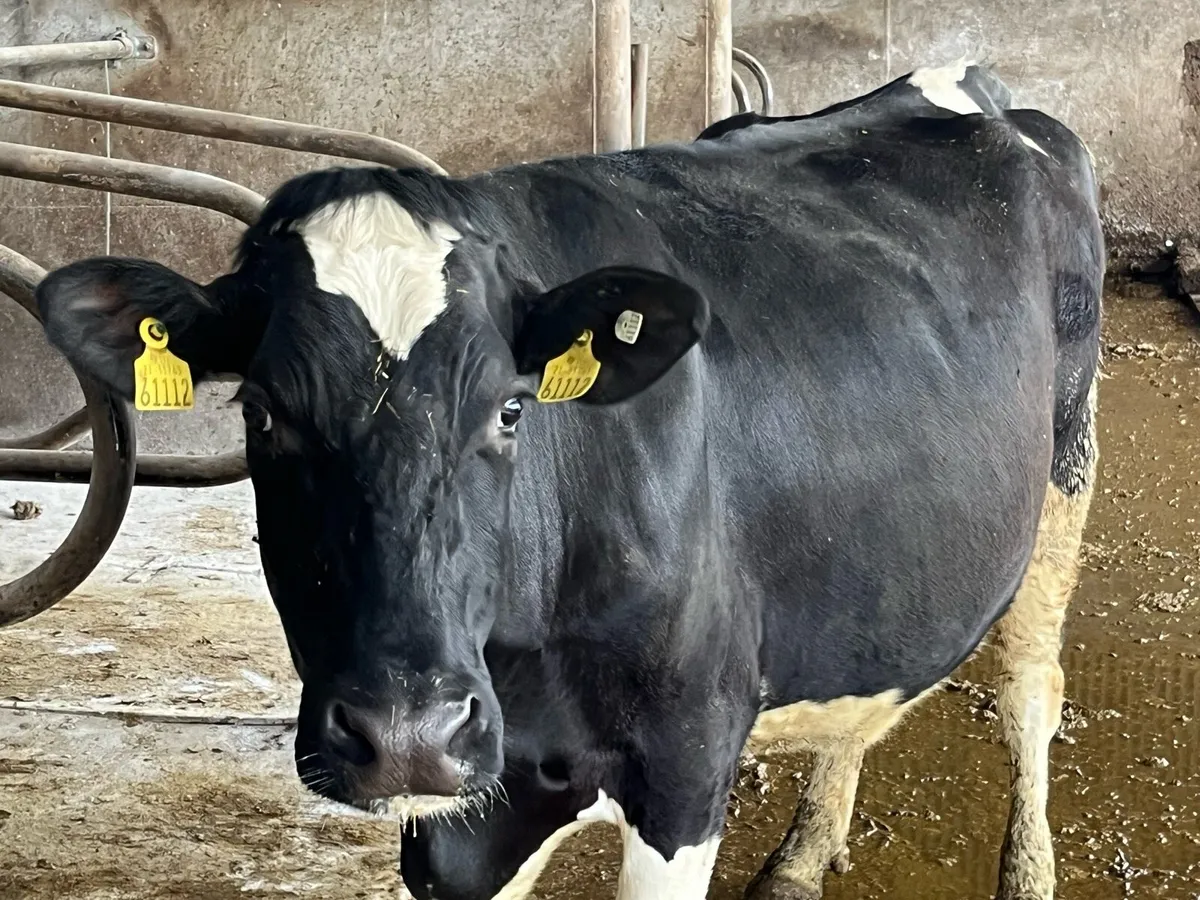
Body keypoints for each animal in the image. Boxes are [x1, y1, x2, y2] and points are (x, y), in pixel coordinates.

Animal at [35, 60, 1102, 900]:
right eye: (262, 412)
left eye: (512, 409)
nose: (406, 731)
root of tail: (963, 85)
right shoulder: (458, 821)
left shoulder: (684, 769)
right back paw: (802, 859)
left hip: (1064, 472)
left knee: (1031, 686)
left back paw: (1027, 873)